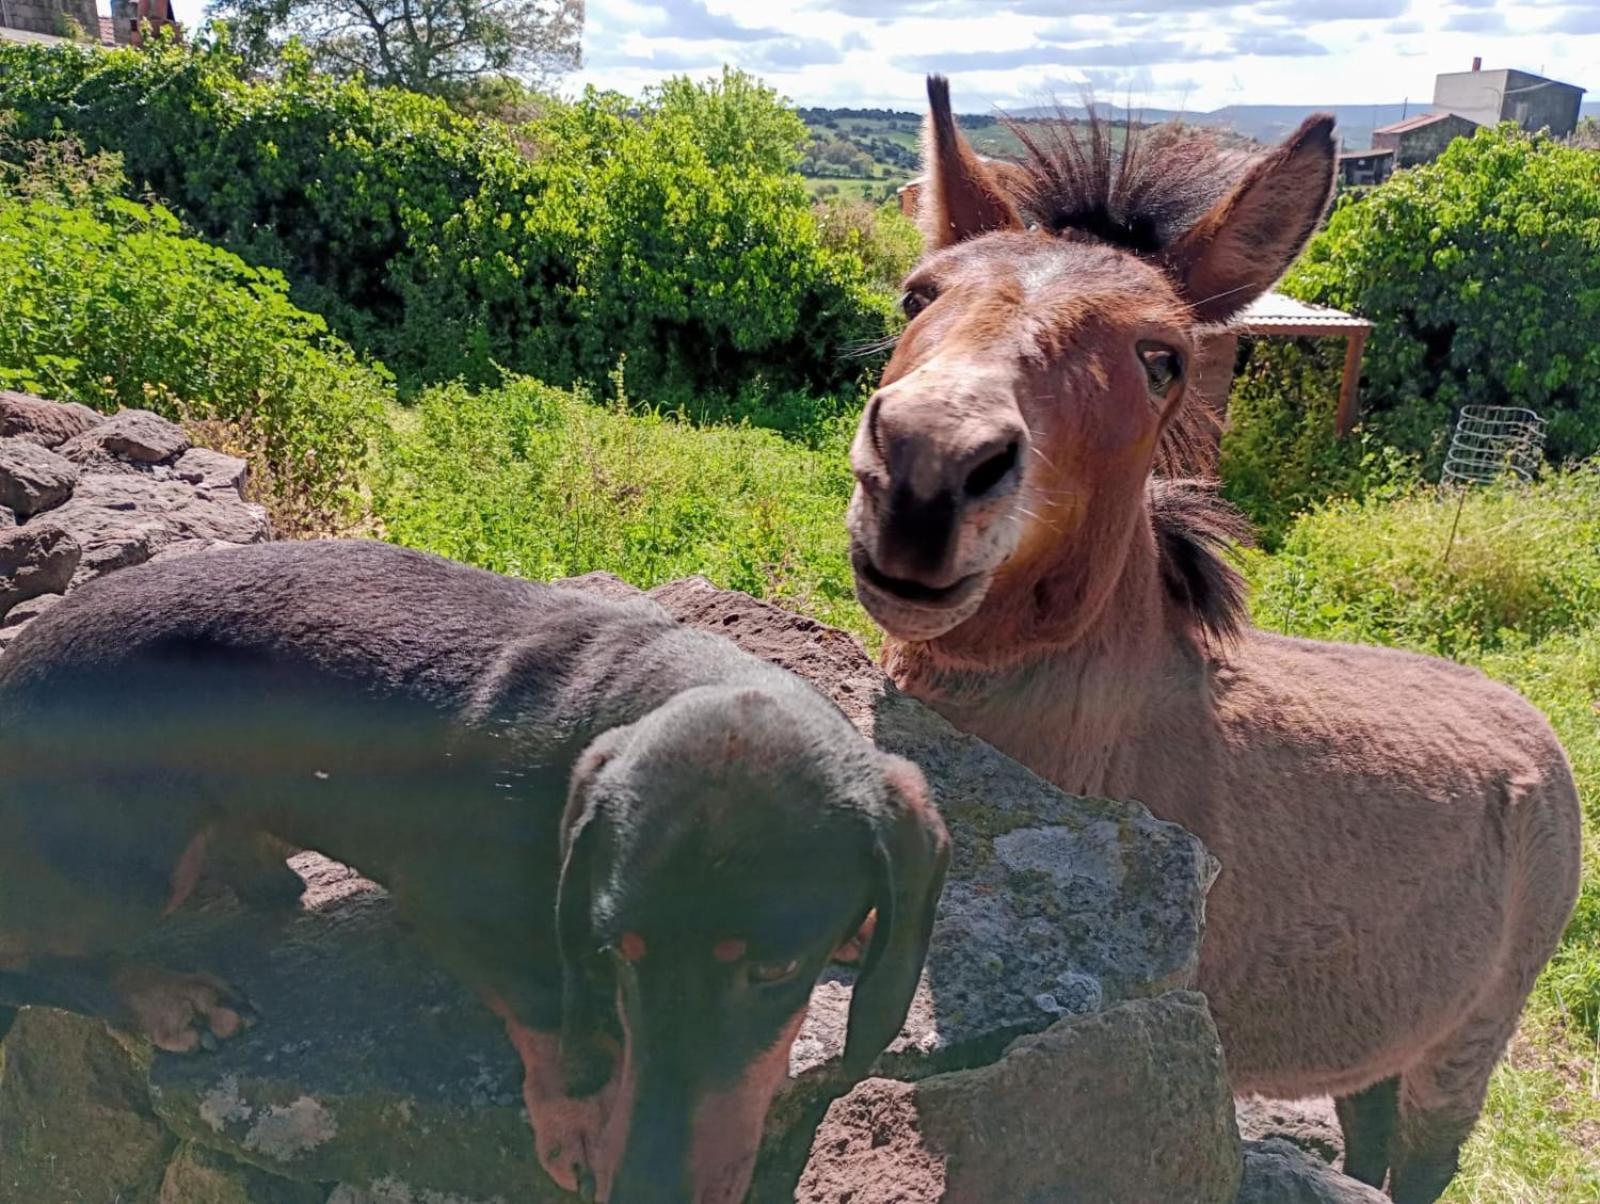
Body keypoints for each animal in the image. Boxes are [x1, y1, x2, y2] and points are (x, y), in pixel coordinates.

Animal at [0, 541, 947, 1197]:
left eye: (776, 969)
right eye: (615, 952)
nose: (645, 1191)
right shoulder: (446, 901)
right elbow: (543, 1007)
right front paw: (577, 1119)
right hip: (130, 866)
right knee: (32, 958)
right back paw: (168, 994)